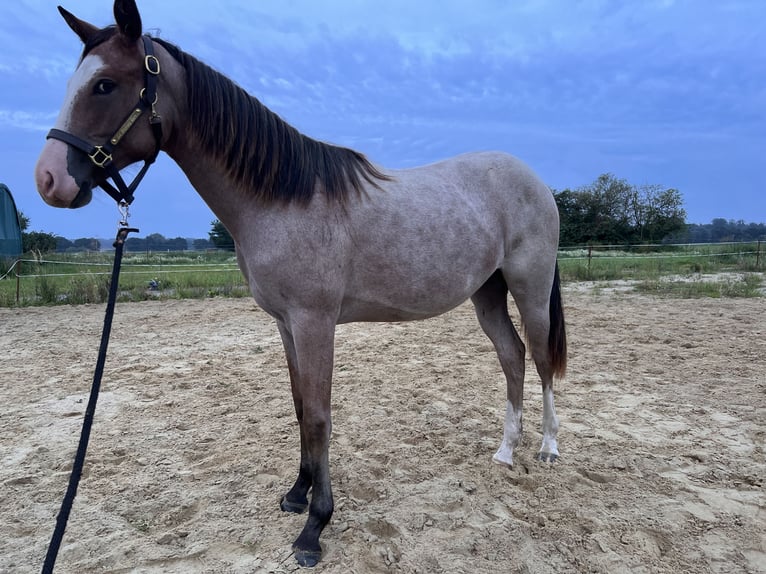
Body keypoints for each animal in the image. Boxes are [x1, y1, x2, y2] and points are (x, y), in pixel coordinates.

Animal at [35, 1, 567, 567]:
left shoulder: (315, 323)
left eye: (105, 85)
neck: (282, 200)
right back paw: (506, 451)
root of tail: (535, 181)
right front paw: (297, 494)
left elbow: (317, 417)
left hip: (529, 290)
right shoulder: (286, 325)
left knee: (539, 358)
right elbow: (297, 407)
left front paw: (315, 526)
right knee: (511, 357)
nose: (48, 179)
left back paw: (547, 448)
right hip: (486, 294)